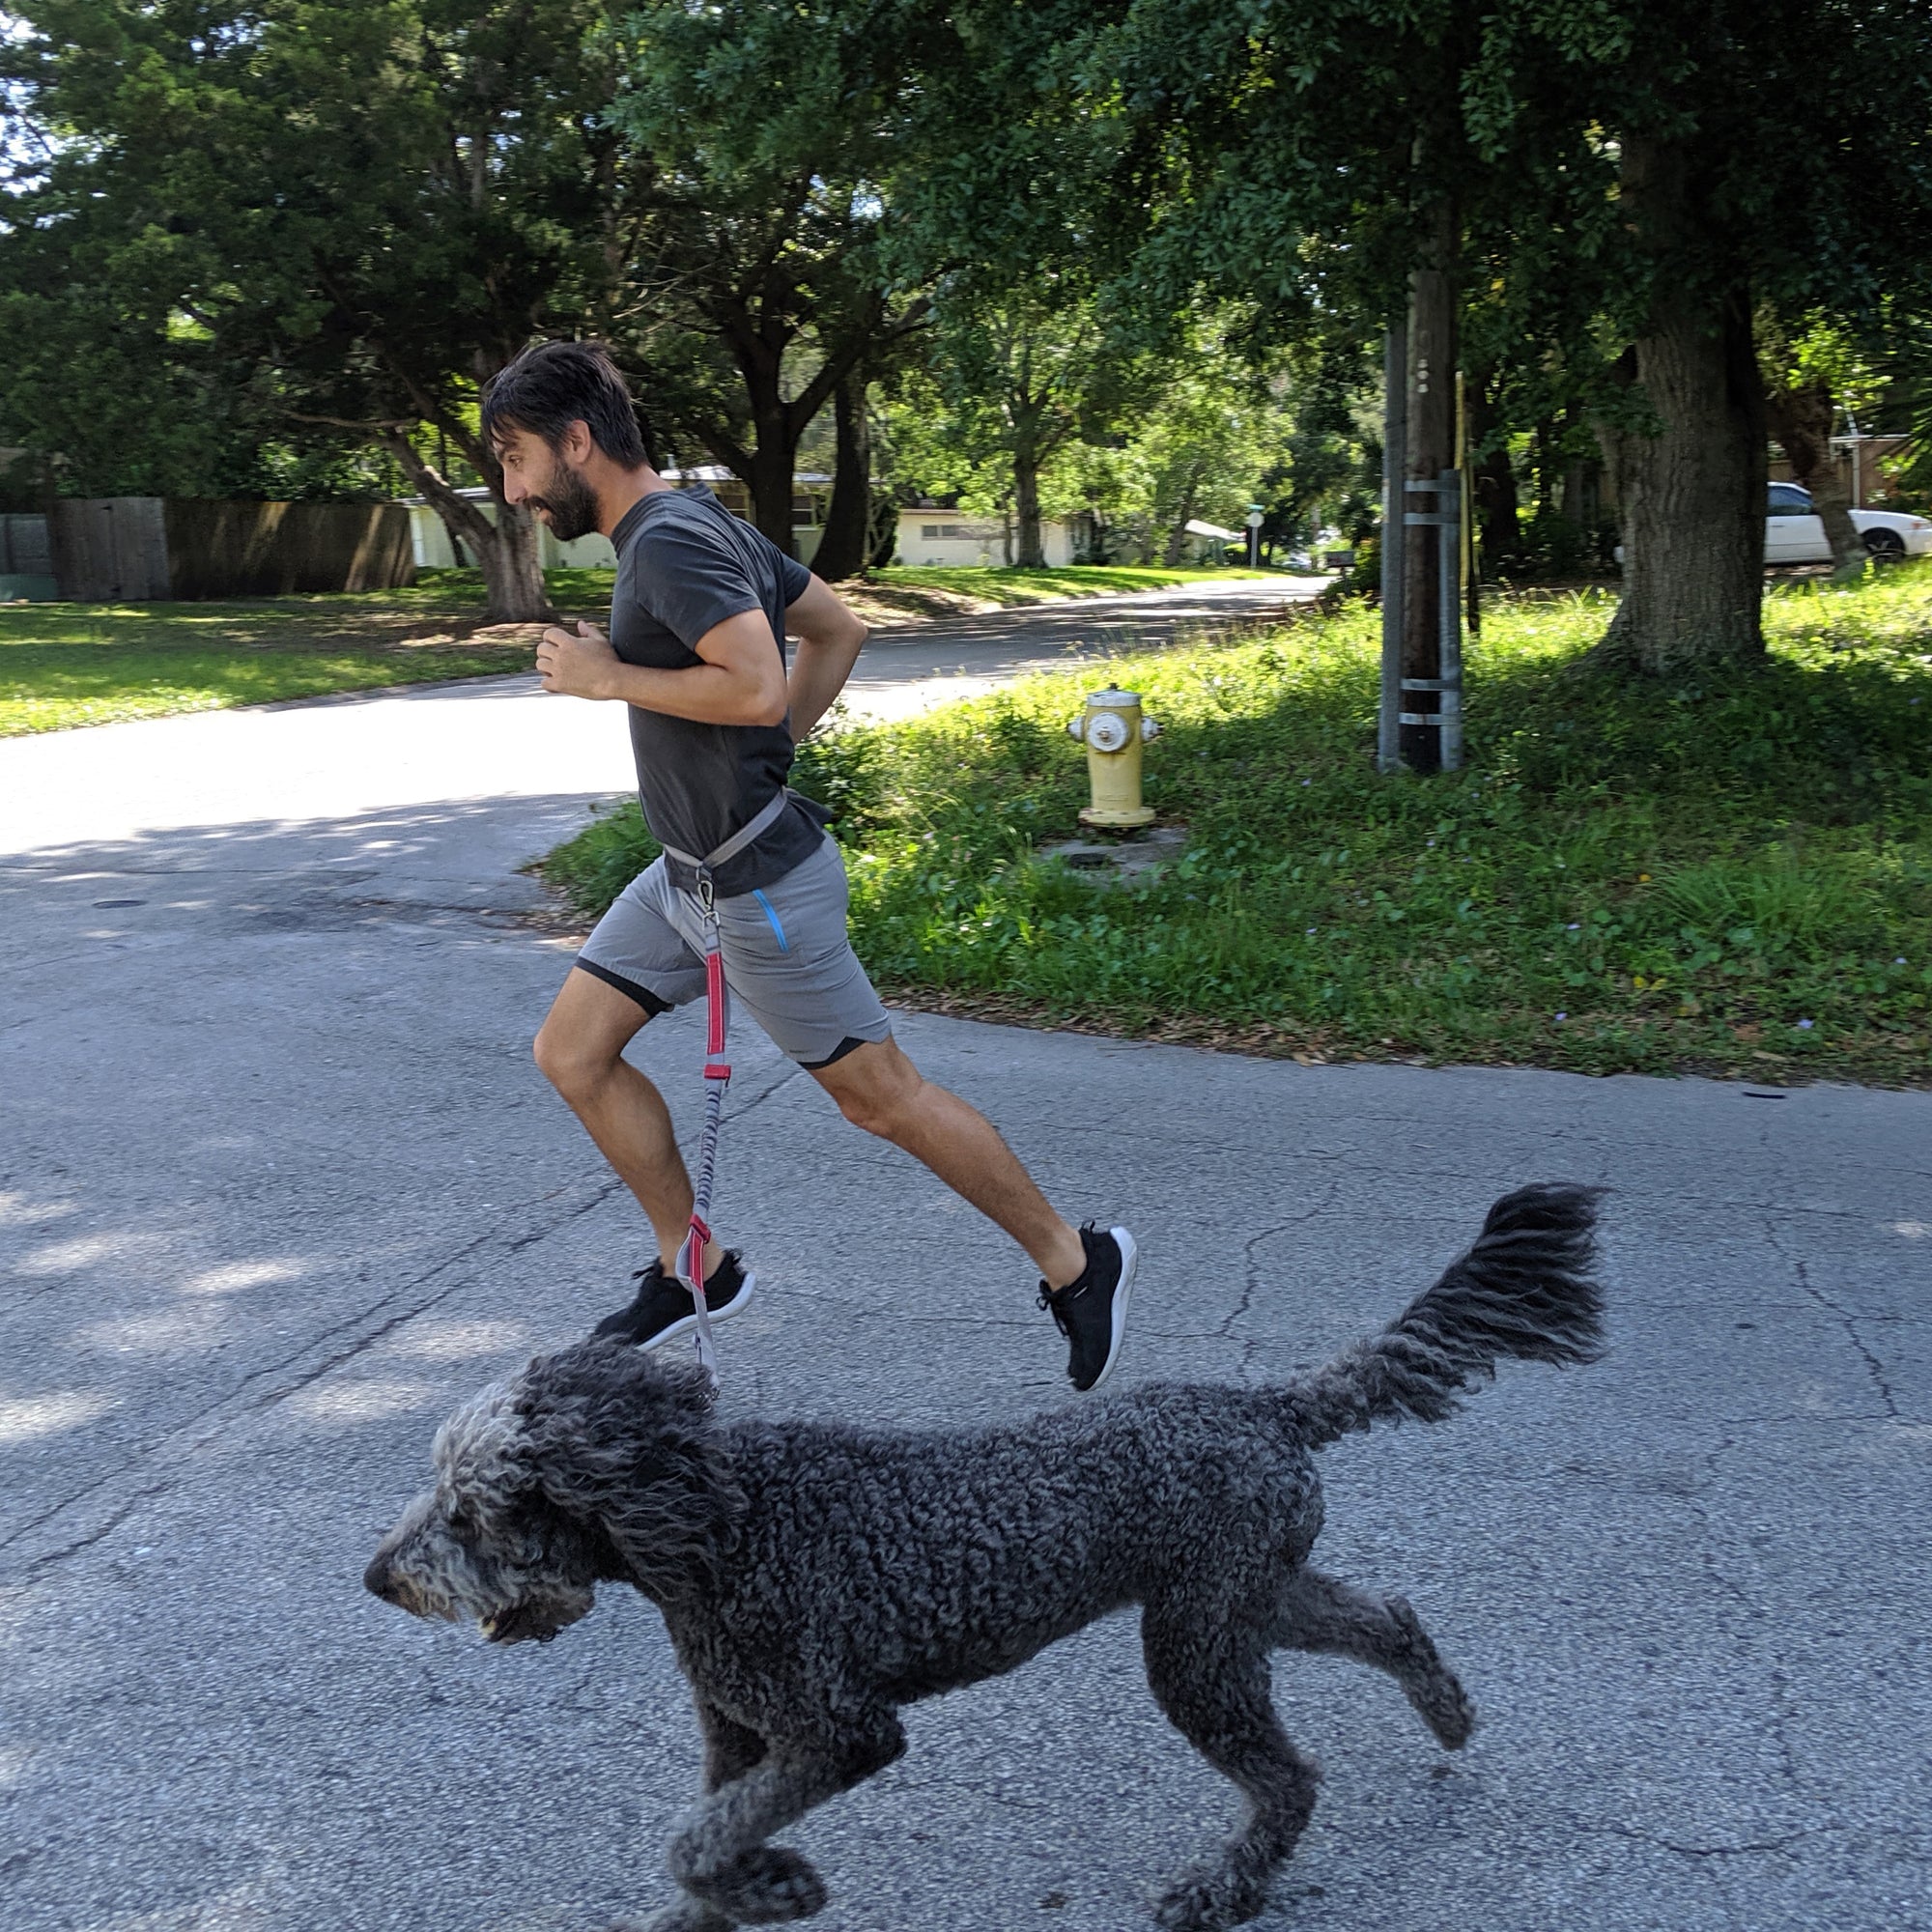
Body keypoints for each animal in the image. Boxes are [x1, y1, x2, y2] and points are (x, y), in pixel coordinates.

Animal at [369, 1182, 1607, 1924]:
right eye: (443, 1493)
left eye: (470, 1511)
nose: (380, 1576)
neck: (721, 1520)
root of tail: (1265, 1405)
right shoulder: (739, 1734)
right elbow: (704, 1837)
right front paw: (733, 1898)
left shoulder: (838, 1729)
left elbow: (695, 1837)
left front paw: (780, 1883)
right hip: (1246, 1597)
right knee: (1385, 1615)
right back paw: (1445, 1712)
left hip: (1196, 1645)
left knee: (1288, 1775)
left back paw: (1224, 1886)